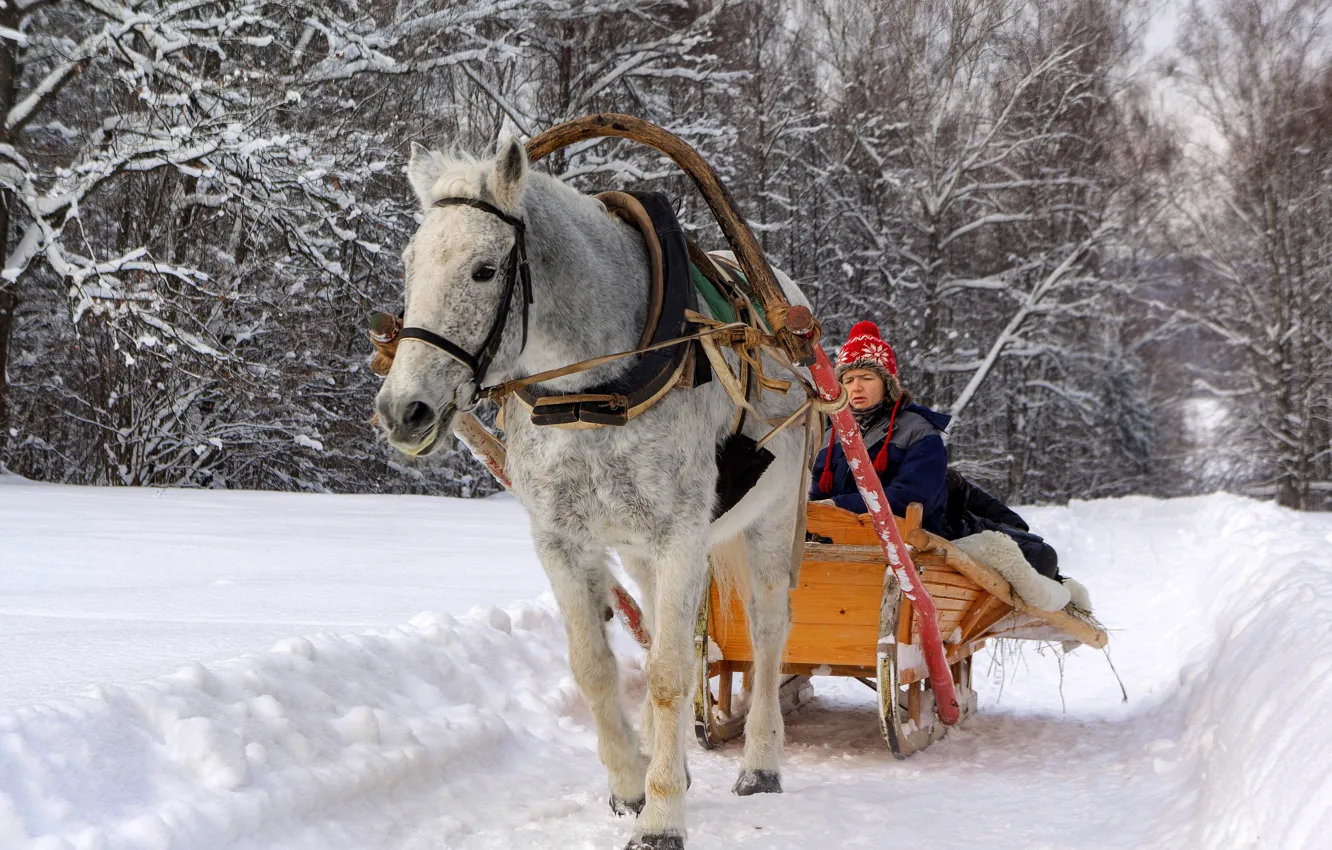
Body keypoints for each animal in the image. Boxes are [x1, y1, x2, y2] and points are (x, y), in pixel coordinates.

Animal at [375, 139, 809, 850]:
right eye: (410, 266)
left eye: (485, 270)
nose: (402, 411)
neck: (591, 394)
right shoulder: (561, 538)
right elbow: (596, 665)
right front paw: (634, 783)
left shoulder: (682, 534)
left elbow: (669, 674)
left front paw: (662, 819)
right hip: (638, 549)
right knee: (666, 631)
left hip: (770, 518)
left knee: (769, 632)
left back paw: (760, 763)